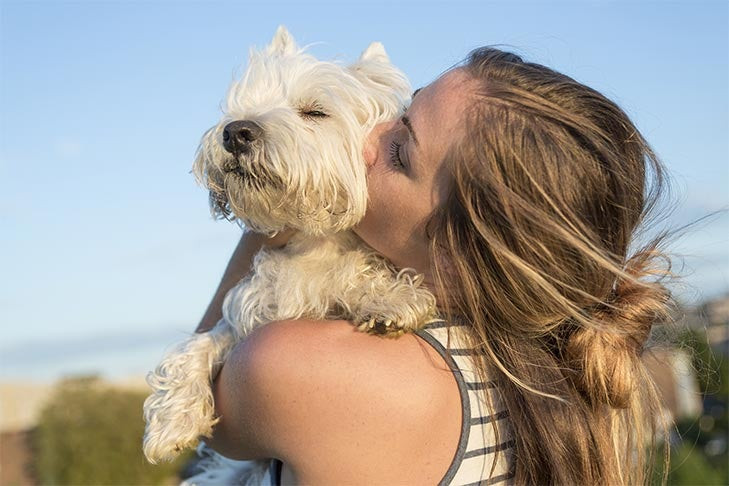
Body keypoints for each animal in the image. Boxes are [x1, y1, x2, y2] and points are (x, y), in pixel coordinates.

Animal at [143, 26, 438, 470]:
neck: (312, 242)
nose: (235, 132)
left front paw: (390, 299)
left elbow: (356, 274)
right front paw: (172, 421)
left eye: (315, 112)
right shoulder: (248, 316)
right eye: (244, 104)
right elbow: (199, 342)